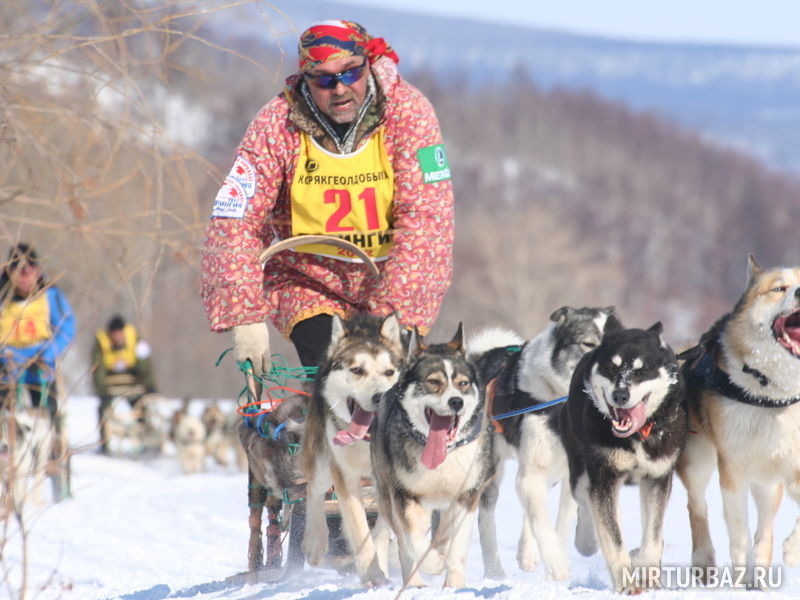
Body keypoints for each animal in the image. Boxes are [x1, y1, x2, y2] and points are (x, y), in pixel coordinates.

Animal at [296, 312, 404, 588]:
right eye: (357, 370)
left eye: (389, 372)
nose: (380, 396)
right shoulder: (345, 474)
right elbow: (358, 525)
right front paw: (372, 572)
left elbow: (380, 530)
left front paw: (380, 565)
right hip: (321, 461)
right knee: (314, 489)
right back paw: (315, 542)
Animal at [370, 326, 494, 588]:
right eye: (434, 382)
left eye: (463, 383)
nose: (456, 401)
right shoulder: (405, 497)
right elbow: (414, 542)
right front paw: (435, 562)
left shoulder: (466, 496)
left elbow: (455, 544)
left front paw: (454, 583)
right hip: (389, 495)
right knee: (403, 542)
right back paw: (415, 582)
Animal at [556, 318, 688, 592]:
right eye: (610, 368)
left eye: (640, 371)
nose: (620, 395)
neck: (637, 435)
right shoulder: (604, 479)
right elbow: (613, 538)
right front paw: (627, 582)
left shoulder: (658, 478)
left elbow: (652, 537)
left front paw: (645, 568)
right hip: (580, 471)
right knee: (584, 503)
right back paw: (587, 540)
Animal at [680, 255, 800, 580]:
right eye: (779, 288)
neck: (772, 395)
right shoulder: (733, 467)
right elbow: (738, 531)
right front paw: (740, 571)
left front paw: (789, 551)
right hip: (698, 461)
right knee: (697, 506)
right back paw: (705, 561)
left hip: (766, 477)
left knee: (764, 526)